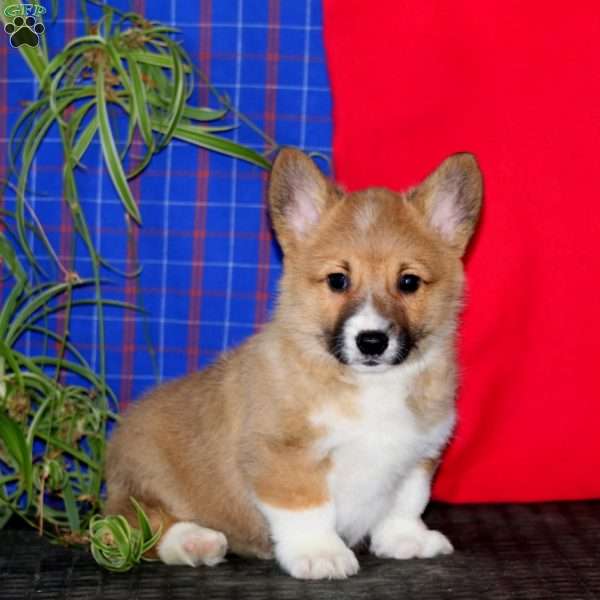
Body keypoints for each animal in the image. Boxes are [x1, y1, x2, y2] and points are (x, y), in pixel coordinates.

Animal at [105, 148, 482, 580]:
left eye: (408, 283)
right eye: (337, 280)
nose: (371, 341)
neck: (369, 384)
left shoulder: (420, 454)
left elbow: (406, 502)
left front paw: (406, 540)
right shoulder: (283, 455)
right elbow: (308, 508)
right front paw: (320, 553)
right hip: (142, 486)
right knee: (137, 525)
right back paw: (194, 541)